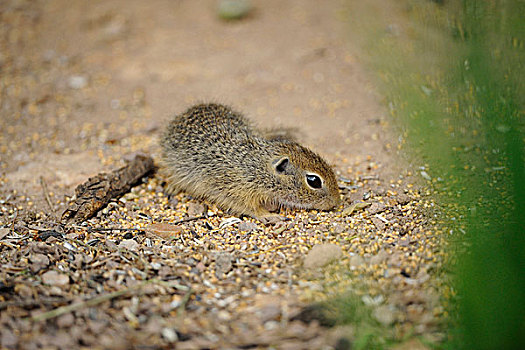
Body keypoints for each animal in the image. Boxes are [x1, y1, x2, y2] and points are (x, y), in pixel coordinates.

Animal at [160, 102, 340, 220]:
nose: (336, 201)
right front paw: (266, 215)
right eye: (314, 181)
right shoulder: (231, 189)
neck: (256, 167)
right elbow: (247, 207)